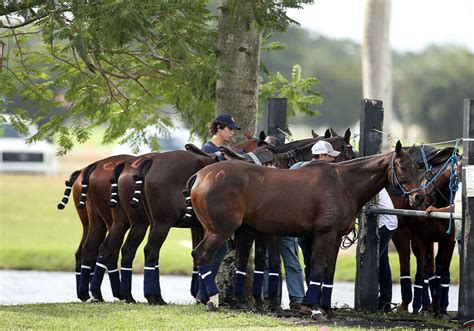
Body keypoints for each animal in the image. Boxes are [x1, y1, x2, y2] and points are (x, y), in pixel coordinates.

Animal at [191, 141, 424, 318]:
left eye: (417, 166)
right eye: (402, 165)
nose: (418, 197)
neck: (342, 184)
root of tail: (201, 175)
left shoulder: (336, 238)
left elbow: (329, 272)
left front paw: (326, 308)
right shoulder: (324, 235)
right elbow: (318, 268)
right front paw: (314, 308)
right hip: (220, 231)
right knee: (202, 255)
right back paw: (211, 300)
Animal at [390, 147, 462, 316]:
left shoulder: (448, 240)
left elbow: (442, 271)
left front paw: (441, 309)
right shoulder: (420, 238)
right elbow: (422, 271)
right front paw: (421, 307)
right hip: (401, 233)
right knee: (408, 262)